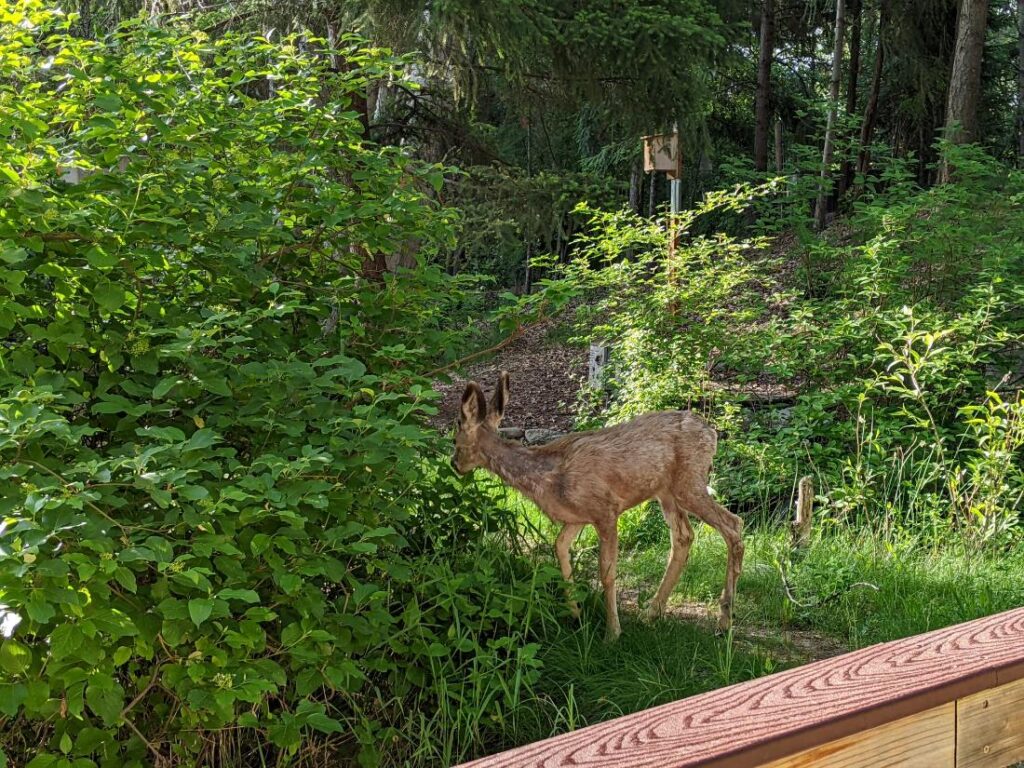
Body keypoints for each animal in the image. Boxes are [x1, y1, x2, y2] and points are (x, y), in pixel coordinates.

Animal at [448, 372, 745, 643]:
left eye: (455, 437)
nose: (454, 464)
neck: (548, 479)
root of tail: (711, 432)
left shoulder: (606, 510)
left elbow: (607, 572)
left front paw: (612, 633)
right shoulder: (576, 518)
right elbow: (559, 549)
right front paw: (575, 614)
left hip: (689, 483)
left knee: (733, 524)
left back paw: (724, 621)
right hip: (666, 491)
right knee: (684, 536)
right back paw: (652, 612)